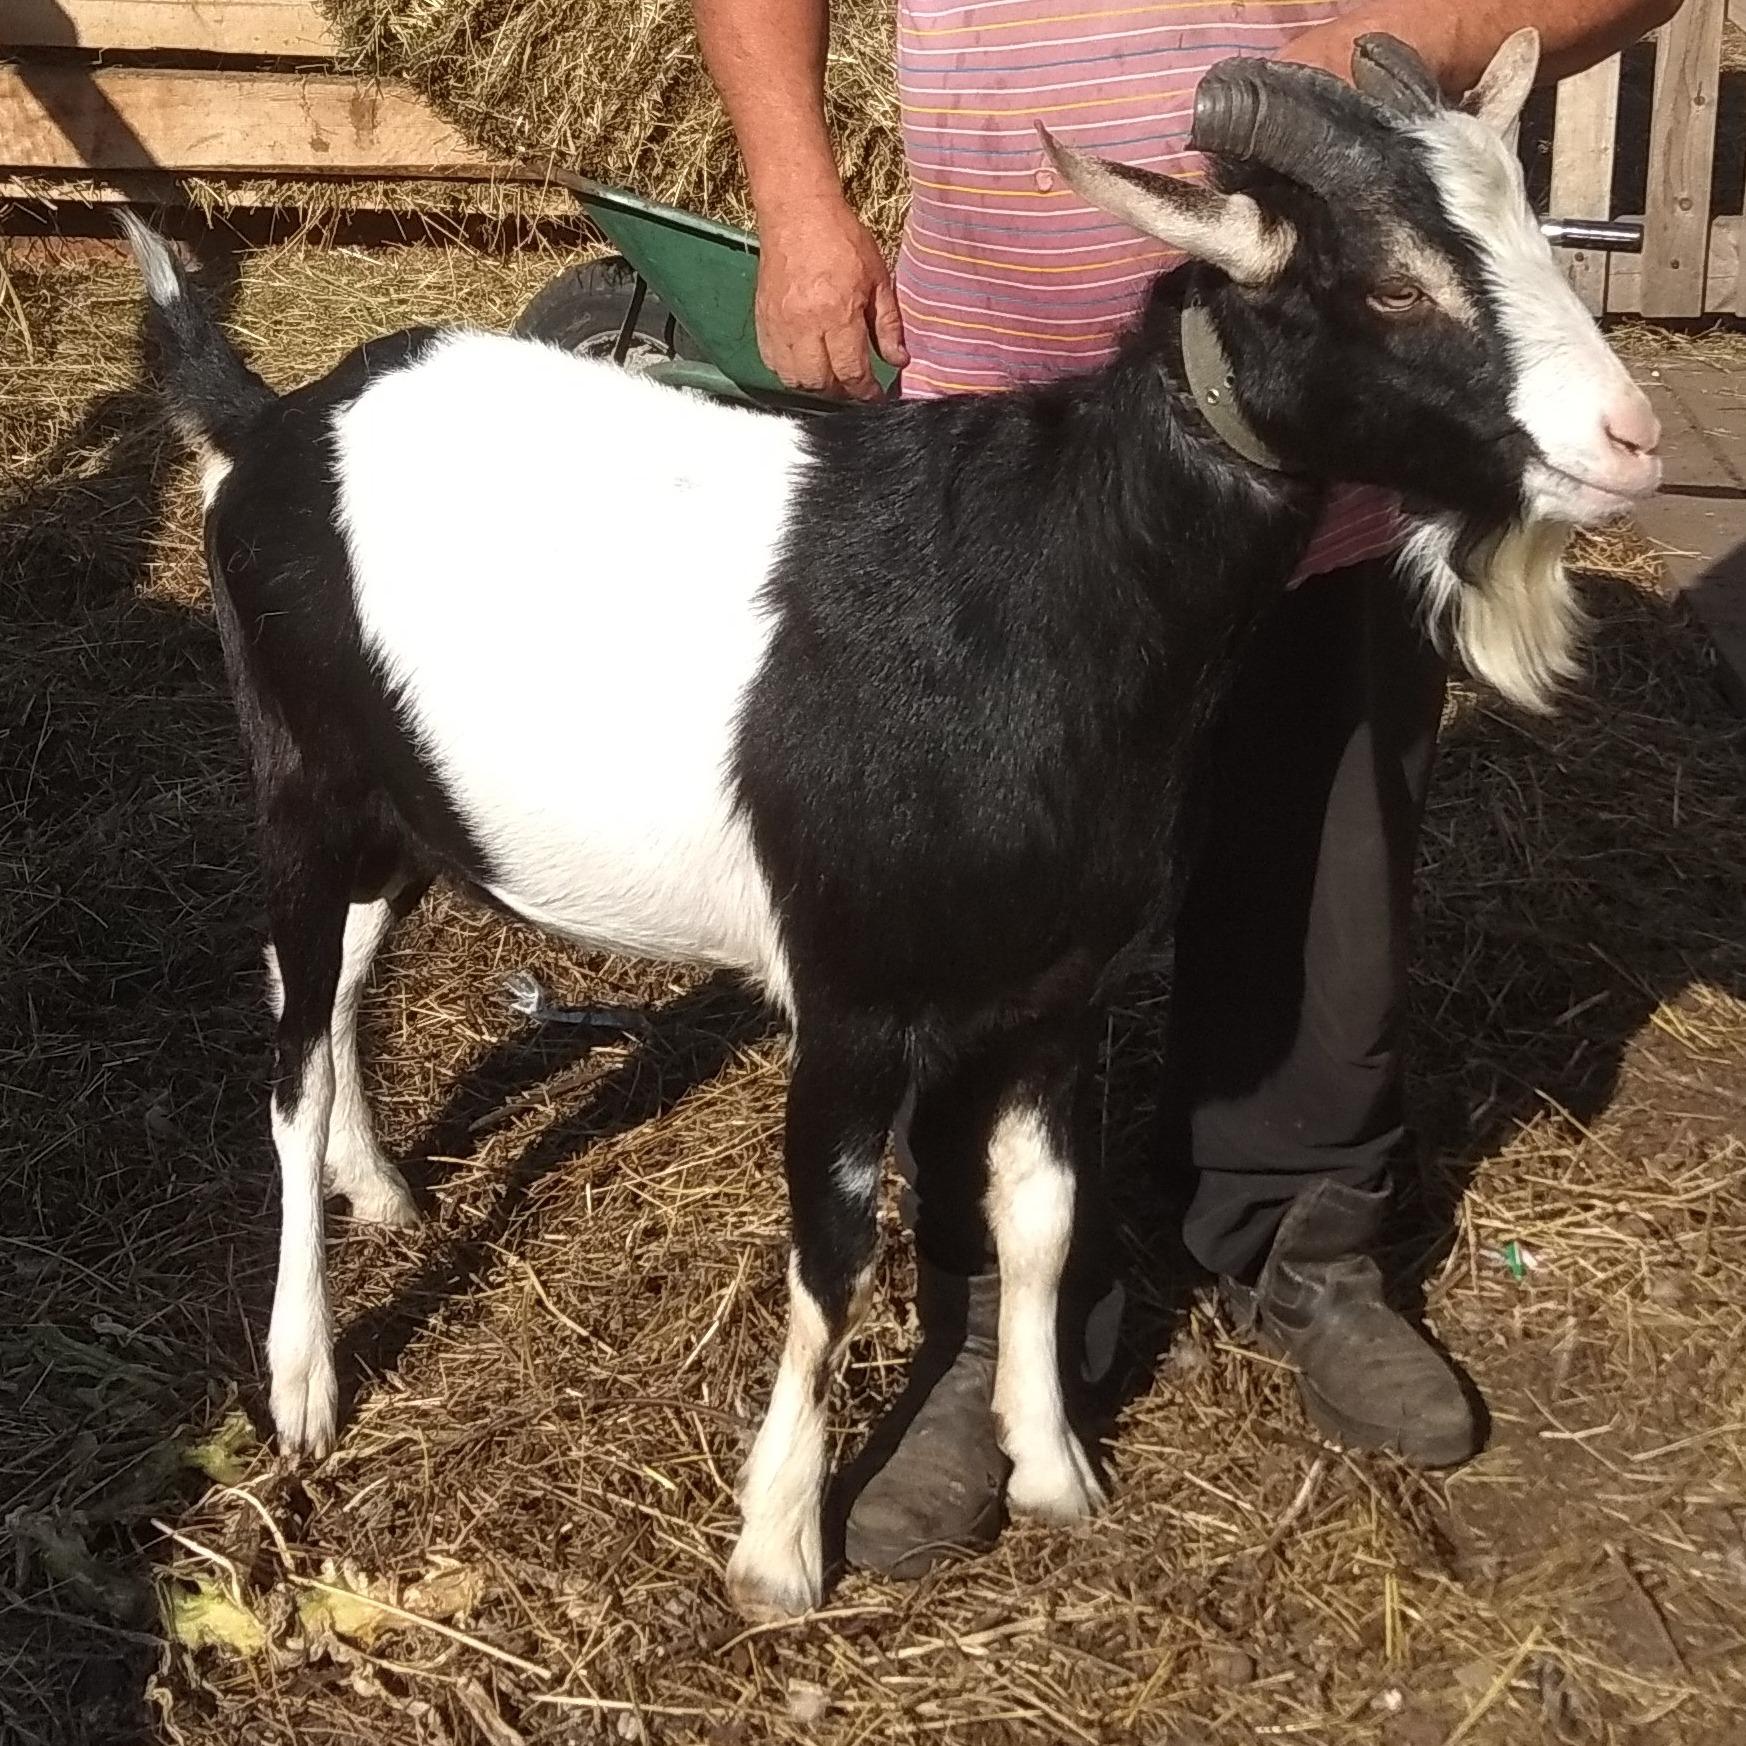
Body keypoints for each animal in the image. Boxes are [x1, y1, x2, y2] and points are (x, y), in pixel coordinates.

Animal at [129, 34, 1655, 1620]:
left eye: (1530, 224)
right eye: (1397, 286)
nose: (1633, 439)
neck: (1050, 576)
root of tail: (273, 427)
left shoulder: (1056, 993)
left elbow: (1039, 1218)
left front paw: (1052, 1471)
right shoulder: (853, 999)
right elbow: (834, 1250)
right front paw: (778, 1544)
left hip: (410, 807)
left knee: (341, 985)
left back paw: (380, 1190)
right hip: (300, 786)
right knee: (289, 1061)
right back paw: (303, 1382)